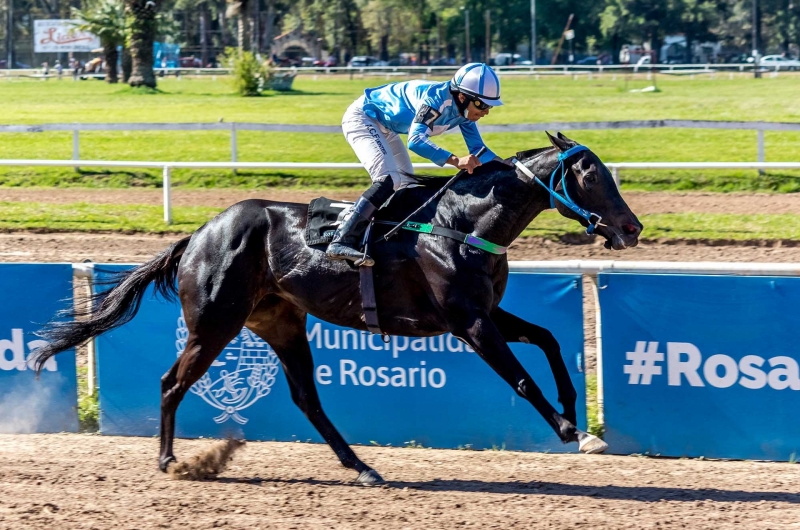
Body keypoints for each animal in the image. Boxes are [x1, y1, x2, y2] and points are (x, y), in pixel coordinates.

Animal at [34, 132, 640, 482]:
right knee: (171, 382)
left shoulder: (486, 314)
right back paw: (168, 461)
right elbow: (521, 379)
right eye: (590, 174)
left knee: (306, 397)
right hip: (214, 323)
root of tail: (200, 234)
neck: (461, 224)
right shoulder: (467, 323)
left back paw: (362, 466)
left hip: (280, 320)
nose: (632, 228)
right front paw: (571, 431)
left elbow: (550, 340)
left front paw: (579, 417)